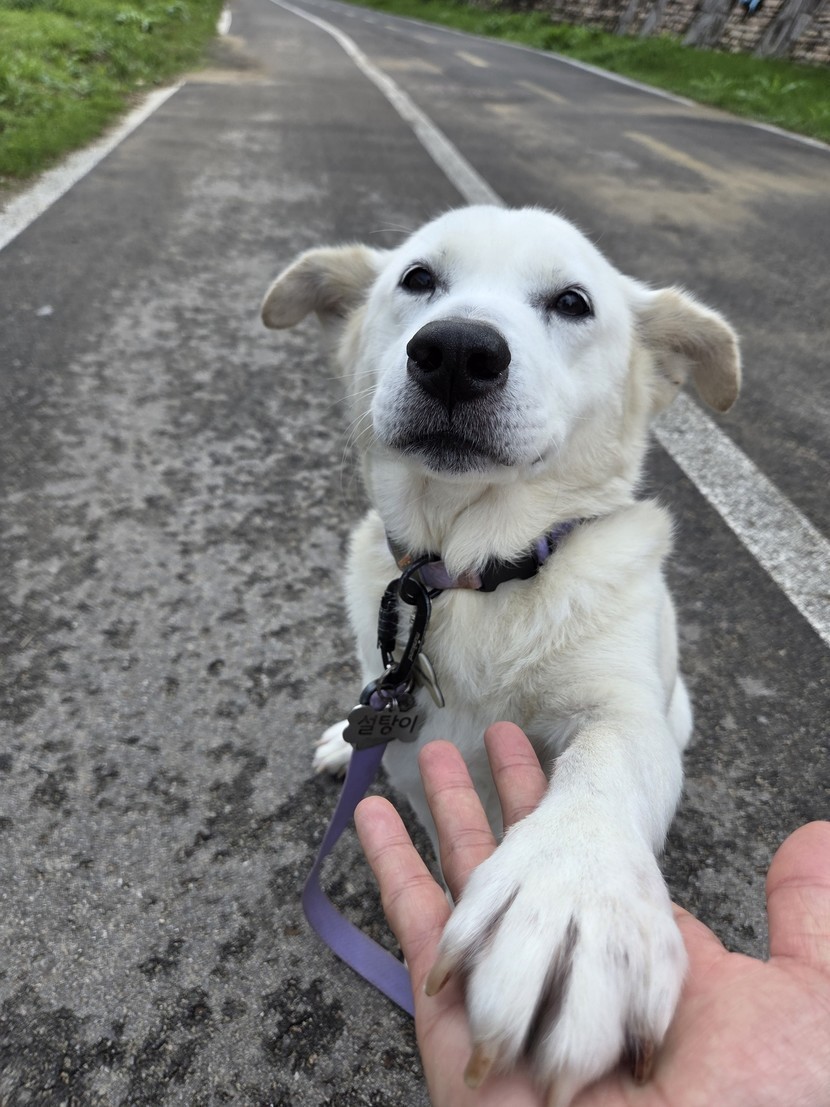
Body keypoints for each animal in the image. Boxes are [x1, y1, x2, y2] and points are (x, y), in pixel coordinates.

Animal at [261, 206, 740, 1105]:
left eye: (574, 300)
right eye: (417, 279)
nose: (455, 351)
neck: (478, 573)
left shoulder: (620, 707)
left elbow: (607, 760)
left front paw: (569, 897)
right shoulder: (415, 752)